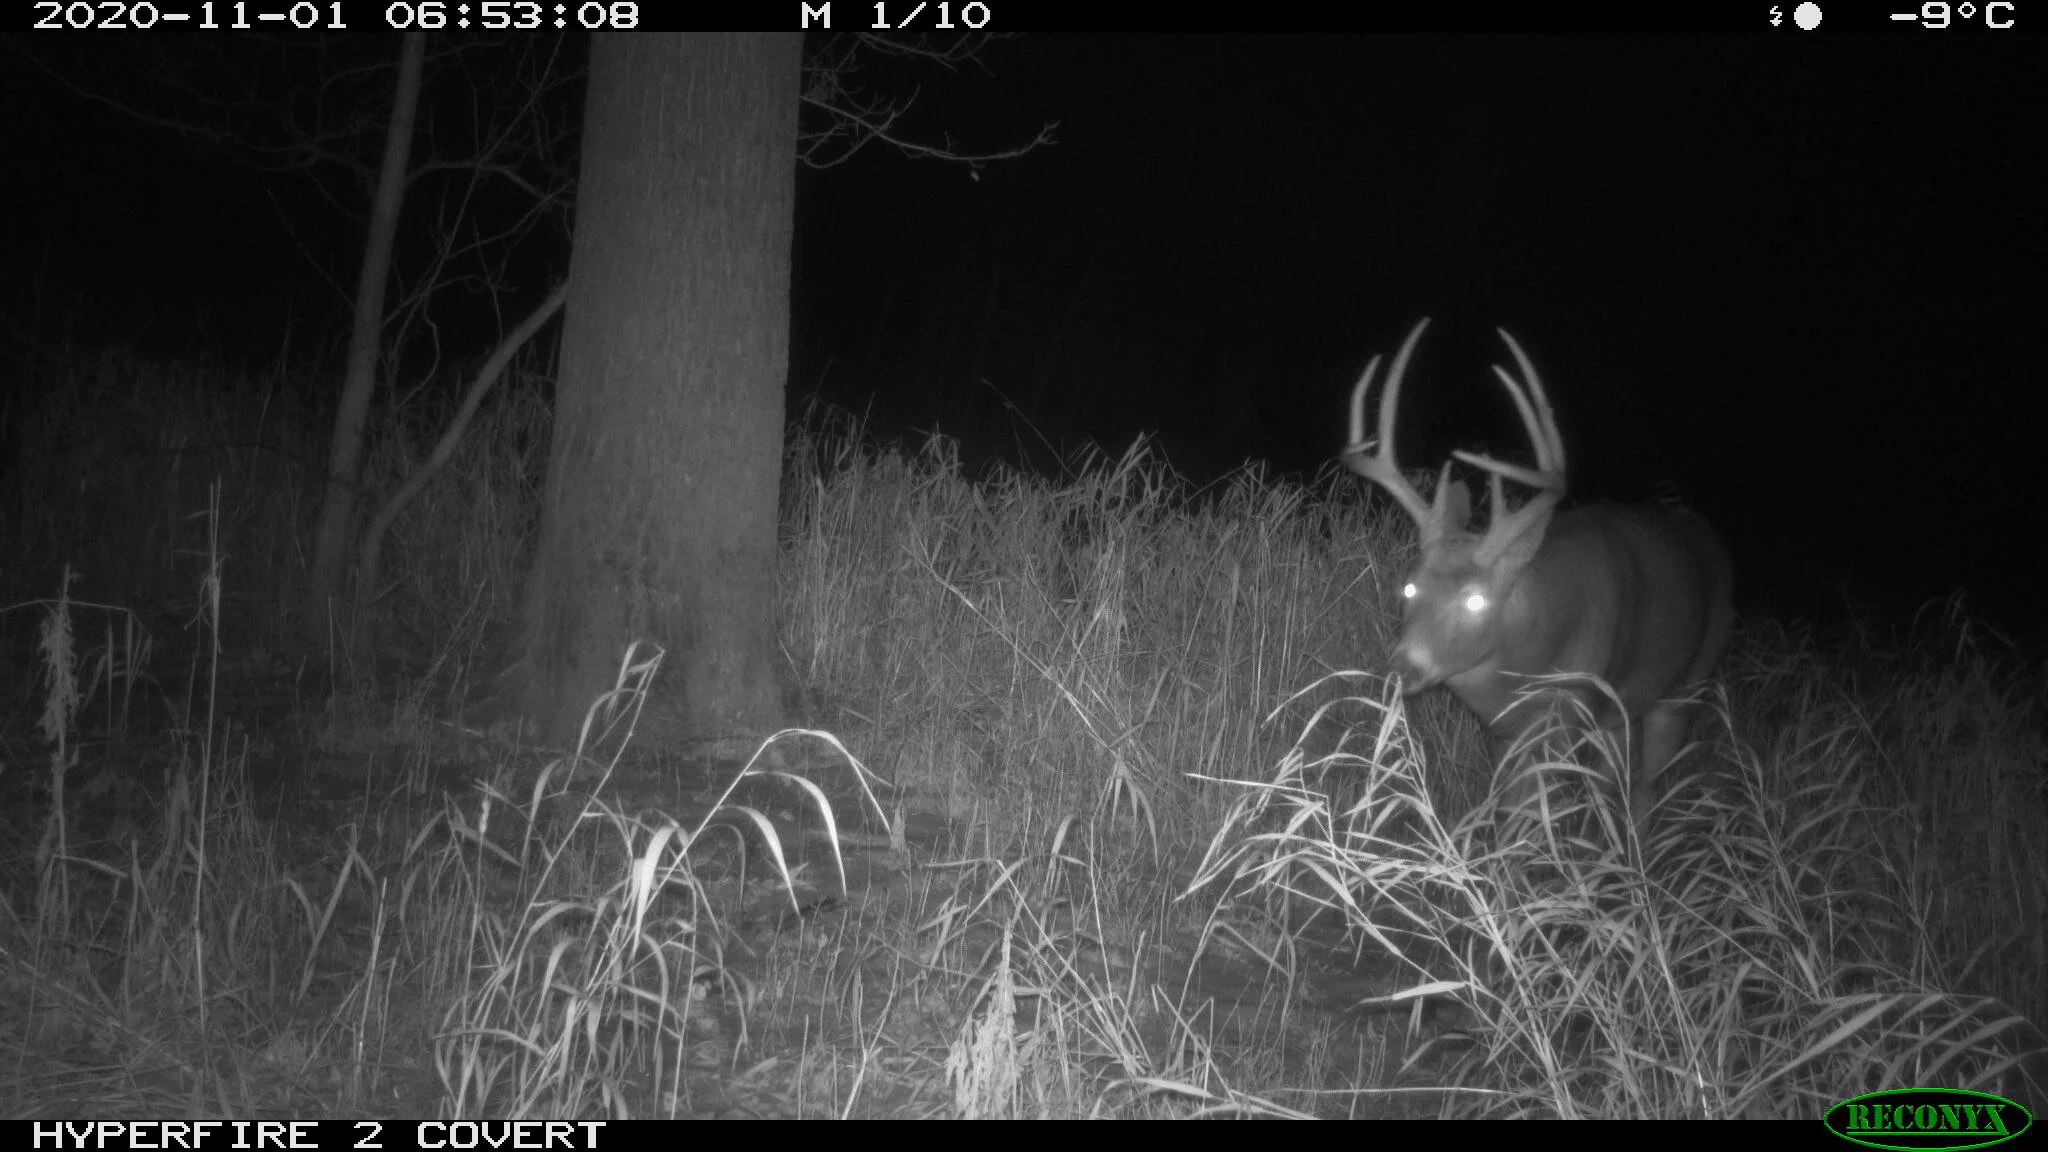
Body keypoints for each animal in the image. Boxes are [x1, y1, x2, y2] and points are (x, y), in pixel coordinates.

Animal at [1342, 318, 1734, 828]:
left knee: (1646, 791)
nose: (1401, 669)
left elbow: (1531, 821)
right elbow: (1508, 816)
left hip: (1688, 685)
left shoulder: (1567, 714)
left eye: (1476, 599)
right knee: (1610, 780)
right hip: (1619, 712)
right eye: (1408, 588)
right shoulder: (1502, 732)